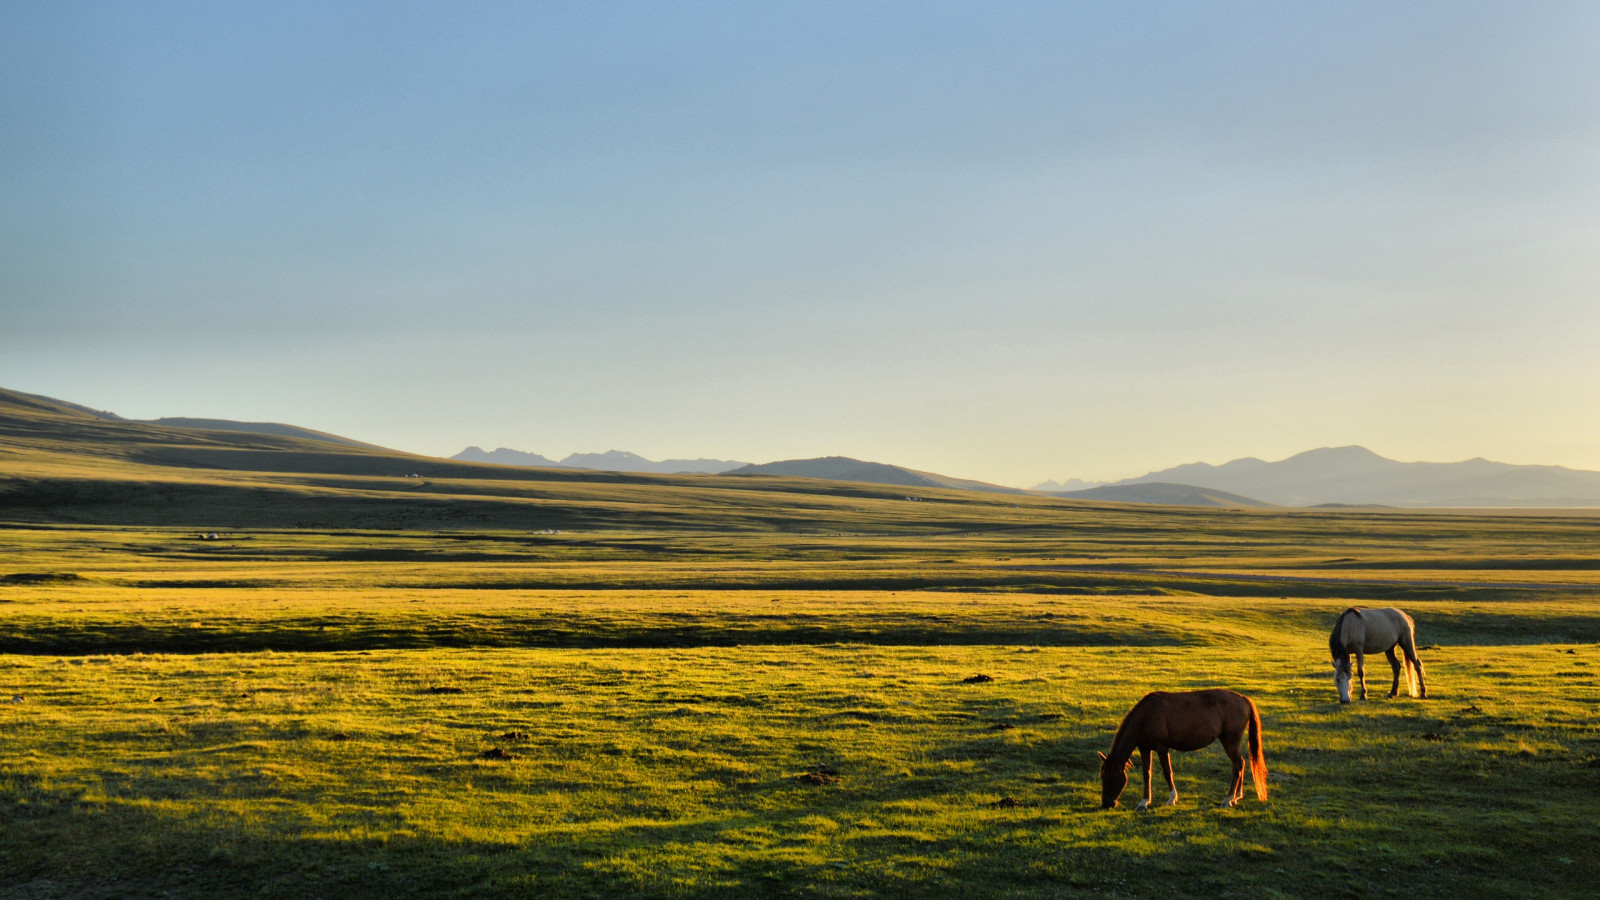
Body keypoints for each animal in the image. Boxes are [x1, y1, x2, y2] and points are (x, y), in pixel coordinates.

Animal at [1098, 688, 1267, 810]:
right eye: (1102, 776)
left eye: (1109, 776)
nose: (1107, 804)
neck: (1146, 716)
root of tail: (1242, 698)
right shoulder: (1144, 748)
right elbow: (1147, 774)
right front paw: (1144, 802)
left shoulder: (1162, 747)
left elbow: (1167, 772)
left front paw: (1172, 798)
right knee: (1241, 763)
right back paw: (1237, 796)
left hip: (1231, 739)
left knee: (1237, 766)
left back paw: (1228, 799)